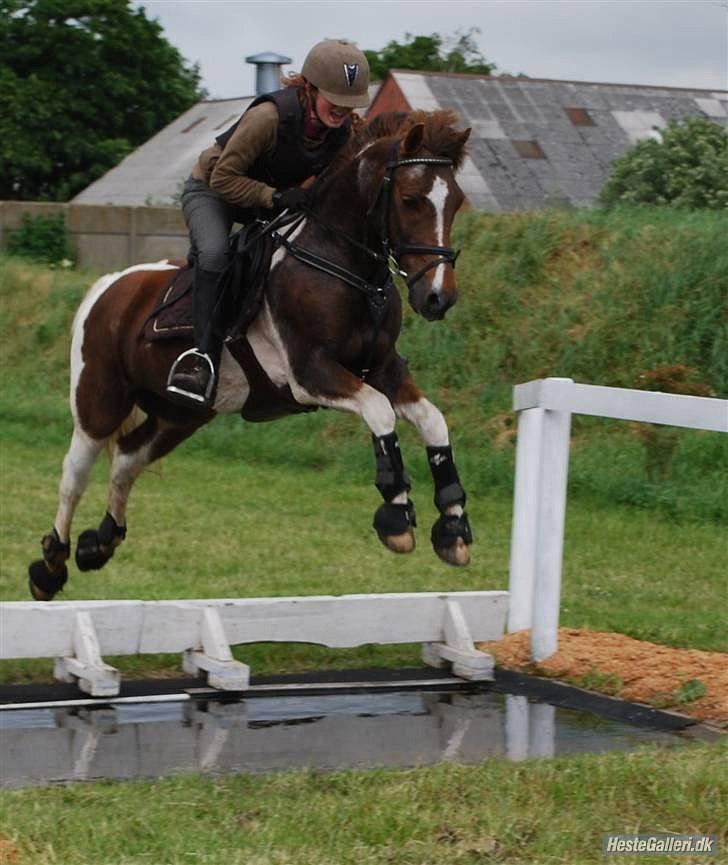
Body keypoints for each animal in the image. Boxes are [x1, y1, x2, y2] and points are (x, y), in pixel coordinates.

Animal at [28, 109, 474, 602]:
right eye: (411, 200)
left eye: (456, 202)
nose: (437, 298)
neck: (343, 265)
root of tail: (111, 284)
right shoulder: (311, 372)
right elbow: (380, 413)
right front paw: (396, 517)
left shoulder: (383, 369)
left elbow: (433, 420)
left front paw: (453, 527)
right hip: (101, 400)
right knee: (75, 474)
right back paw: (50, 565)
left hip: (181, 414)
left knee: (127, 458)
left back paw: (101, 543)